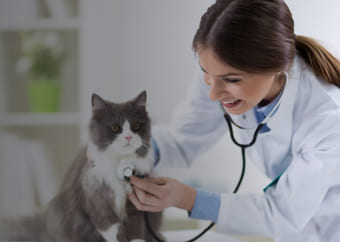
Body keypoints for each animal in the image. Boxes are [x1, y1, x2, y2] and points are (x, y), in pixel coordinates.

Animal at [0, 91, 163, 242]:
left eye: (136, 126)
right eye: (115, 127)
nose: (128, 137)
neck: (120, 164)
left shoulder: (138, 205)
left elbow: (137, 231)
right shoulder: (98, 201)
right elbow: (113, 230)